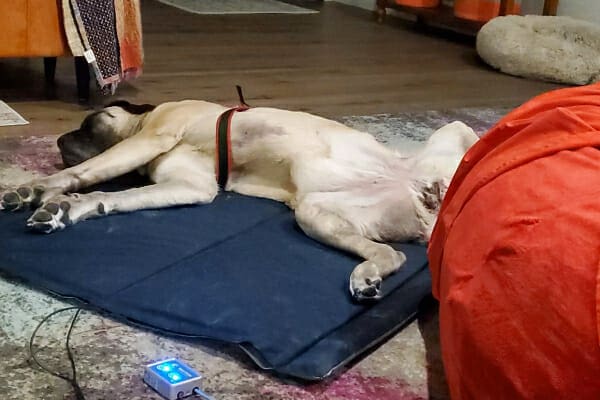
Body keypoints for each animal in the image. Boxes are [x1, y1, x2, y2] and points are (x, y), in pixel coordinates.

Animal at [0, 100, 478, 300]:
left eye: (87, 123)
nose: (58, 139)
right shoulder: (190, 187)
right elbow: (112, 194)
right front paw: (68, 206)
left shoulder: (154, 134)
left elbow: (87, 173)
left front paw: (37, 189)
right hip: (315, 214)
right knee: (390, 253)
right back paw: (369, 273)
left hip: (456, 135)